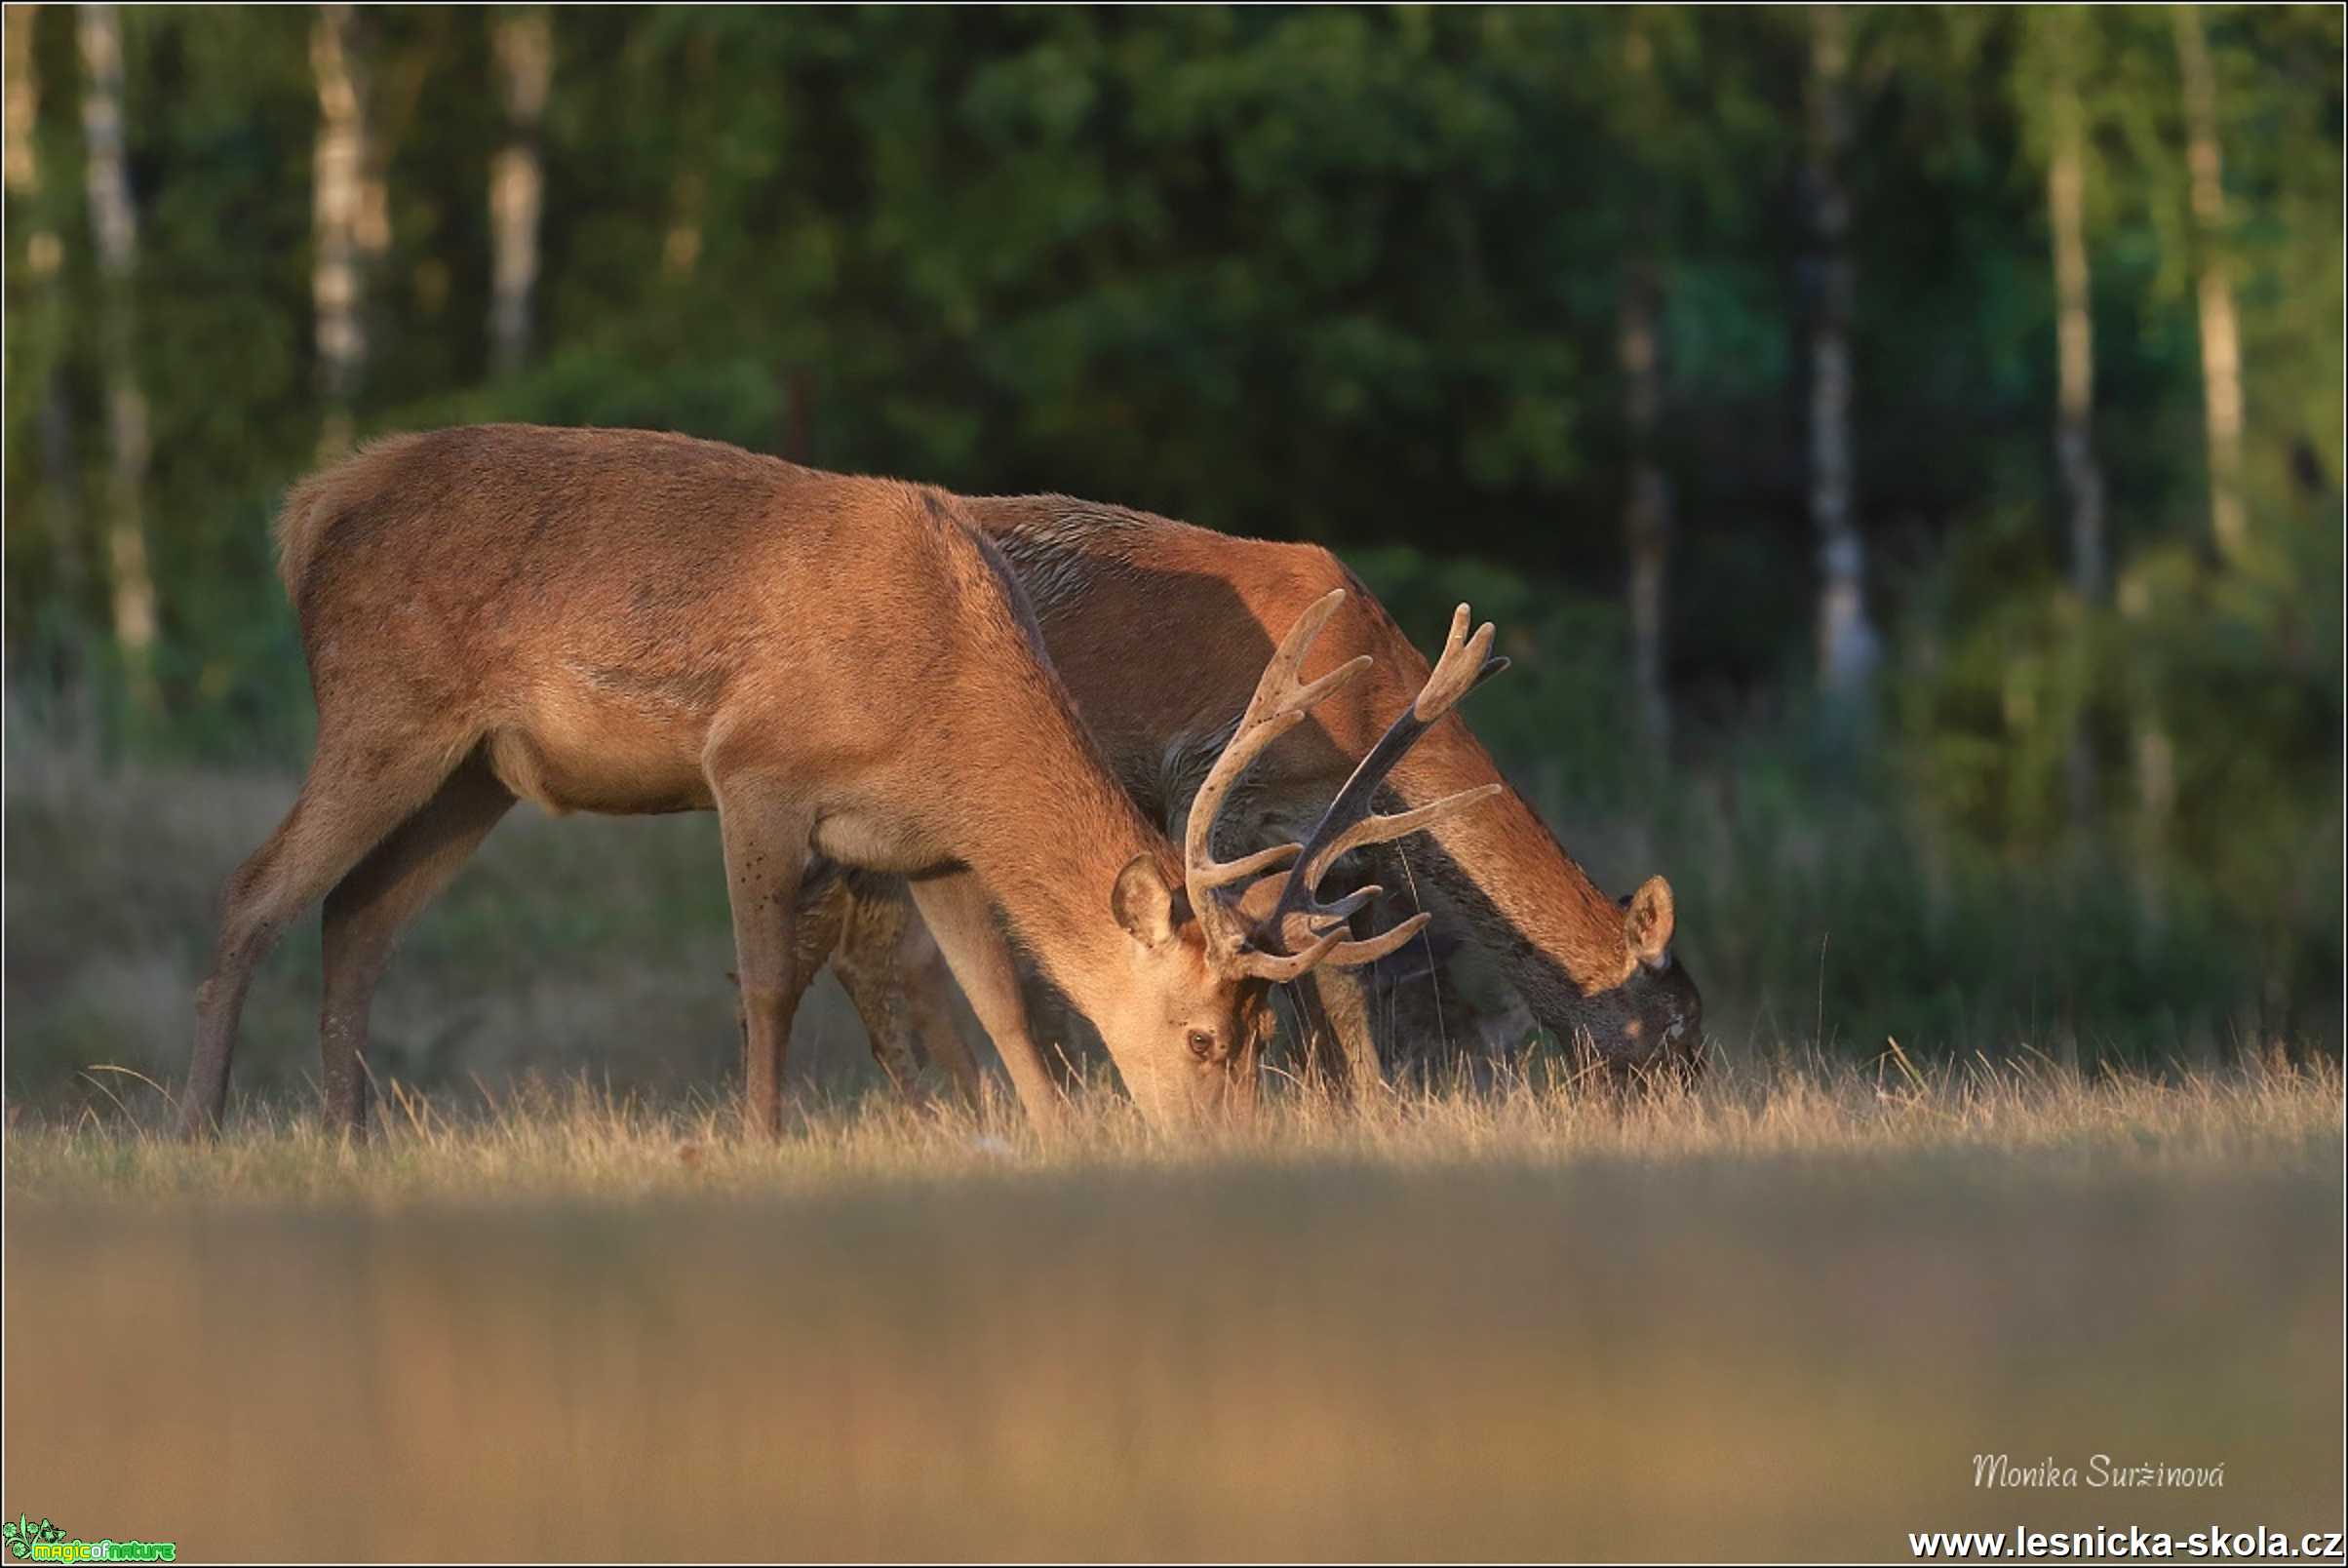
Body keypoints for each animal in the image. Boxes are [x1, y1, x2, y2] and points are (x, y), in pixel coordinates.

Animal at [187, 429, 1503, 1140]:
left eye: (1263, 1030)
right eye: (1203, 1037)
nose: (1222, 1147)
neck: (945, 697)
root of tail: (306, 513)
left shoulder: (931, 843)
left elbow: (1001, 1000)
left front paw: (1050, 1134)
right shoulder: (753, 771)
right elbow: (769, 983)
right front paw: (757, 1137)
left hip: (475, 773)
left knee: (355, 916)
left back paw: (348, 1139)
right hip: (382, 705)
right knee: (252, 890)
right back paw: (201, 1124)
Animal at [798, 494, 1700, 1098]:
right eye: (1679, 1023)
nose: (1689, 1101)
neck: (1370, 704)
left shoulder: (1332, 847)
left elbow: (1344, 1000)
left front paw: (1367, 1113)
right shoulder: (1215, 789)